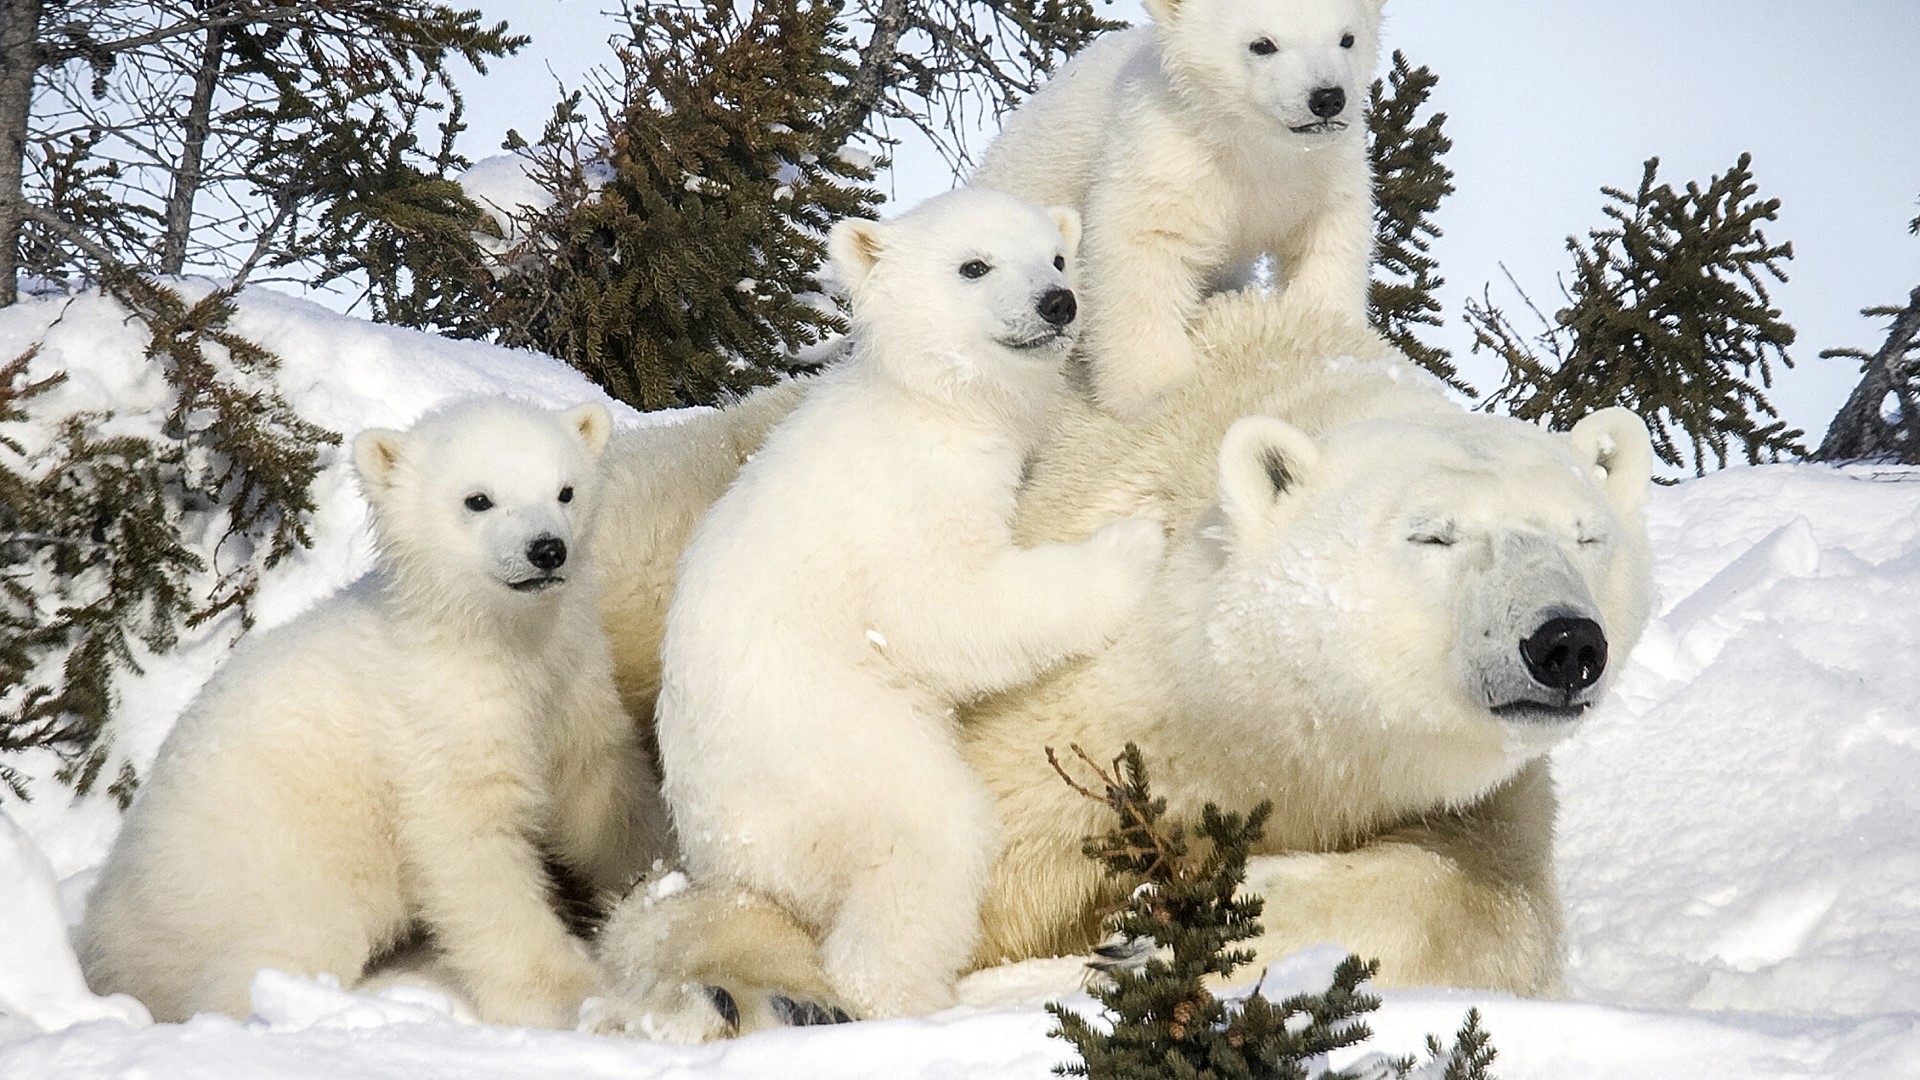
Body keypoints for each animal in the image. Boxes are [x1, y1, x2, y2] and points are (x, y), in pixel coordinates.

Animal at [78, 397, 668, 1028]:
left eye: (565, 491)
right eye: (478, 499)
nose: (547, 549)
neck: (485, 639)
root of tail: (103, 934)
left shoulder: (571, 683)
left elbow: (600, 786)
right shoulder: (435, 726)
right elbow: (471, 851)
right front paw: (568, 993)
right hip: (260, 877)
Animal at [583, 292, 1655, 1040]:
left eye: (1587, 534)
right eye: (1433, 535)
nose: (1564, 643)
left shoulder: (1464, 792)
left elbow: (1493, 903)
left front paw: (1152, 932)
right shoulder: (1066, 712)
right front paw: (765, 987)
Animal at [644, 187, 1167, 1029]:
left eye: (1057, 256)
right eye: (973, 265)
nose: (1057, 302)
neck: (929, 402)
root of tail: (728, 862)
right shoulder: (908, 497)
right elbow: (945, 609)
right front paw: (1137, 540)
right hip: (844, 752)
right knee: (929, 844)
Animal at [970, 0, 1384, 418]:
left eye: (1347, 38)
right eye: (1262, 44)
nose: (1327, 97)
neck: (1247, 145)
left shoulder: (1323, 172)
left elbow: (1328, 240)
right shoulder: (1167, 155)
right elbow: (1143, 247)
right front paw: (1155, 388)